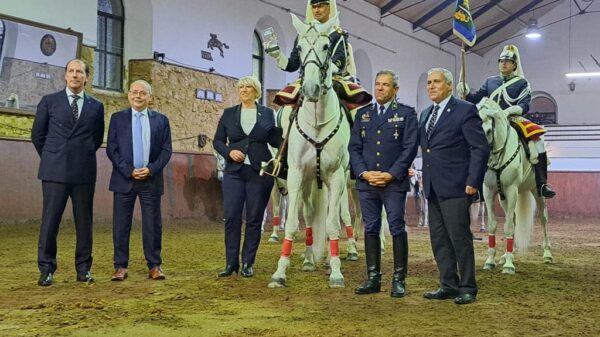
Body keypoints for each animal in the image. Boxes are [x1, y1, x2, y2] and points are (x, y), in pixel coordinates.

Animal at [268, 14, 350, 288]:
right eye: (301, 48)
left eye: (327, 47)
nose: (311, 89)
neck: (316, 121)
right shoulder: (295, 174)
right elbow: (294, 223)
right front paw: (280, 272)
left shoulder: (335, 176)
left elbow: (333, 224)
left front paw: (336, 273)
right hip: (306, 182)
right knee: (310, 213)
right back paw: (308, 259)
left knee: (338, 215)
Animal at [478, 98, 552, 272]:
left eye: (488, 131)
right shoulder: (489, 191)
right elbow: (493, 225)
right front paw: (490, 261)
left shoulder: (511, 190)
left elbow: (509, 227)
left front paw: (509, 266)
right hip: (504, 198)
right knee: (512, 218)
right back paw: (505, 255)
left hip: (536, 191)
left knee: (543, 218)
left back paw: (547, 254)